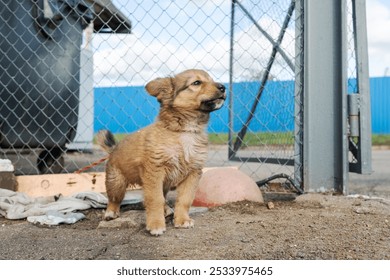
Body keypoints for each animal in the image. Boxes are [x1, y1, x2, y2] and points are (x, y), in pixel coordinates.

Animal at [96, 69, 227, 235]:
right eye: (196, 83)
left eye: (211, 79)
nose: (223, 87)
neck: (185, 131)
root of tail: (114, 148)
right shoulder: (154, 171)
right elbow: (155, 199)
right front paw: (156, 224)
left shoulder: (193, 173)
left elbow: (185, 200)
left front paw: (182, 220)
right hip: (116, 182)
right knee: (114, 199)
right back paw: (110, 213)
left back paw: (167, 210)